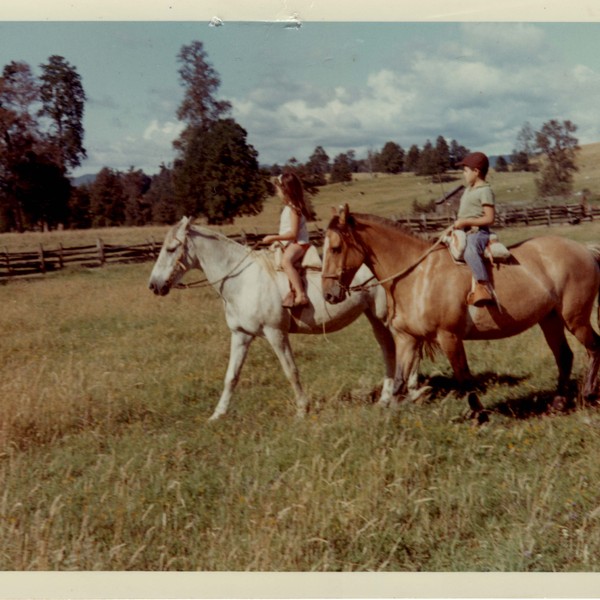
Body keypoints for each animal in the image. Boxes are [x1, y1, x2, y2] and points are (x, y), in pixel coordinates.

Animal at [148, 217, 406, 422]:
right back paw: (386, 398)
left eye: (171, 248)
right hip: (374, 317)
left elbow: (290, 370)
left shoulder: (275, 333)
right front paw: (217, 414)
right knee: (389, 350)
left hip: (384, 317)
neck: (242, 280)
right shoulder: (241, 335)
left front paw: (302, 410)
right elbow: (231, 376)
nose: (154, 285)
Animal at [324, 203, 600, 418]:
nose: (328, 294)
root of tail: (585, 250)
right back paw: (559, 402)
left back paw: (588, 393)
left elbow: (463, 377)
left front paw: (479, 415)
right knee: (564, 356)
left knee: (593, 347)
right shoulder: (407, 339)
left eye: (335, 248)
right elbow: (400, 383)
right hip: (550, 319)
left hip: (575, 318)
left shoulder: (449, 337)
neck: (417, 275)